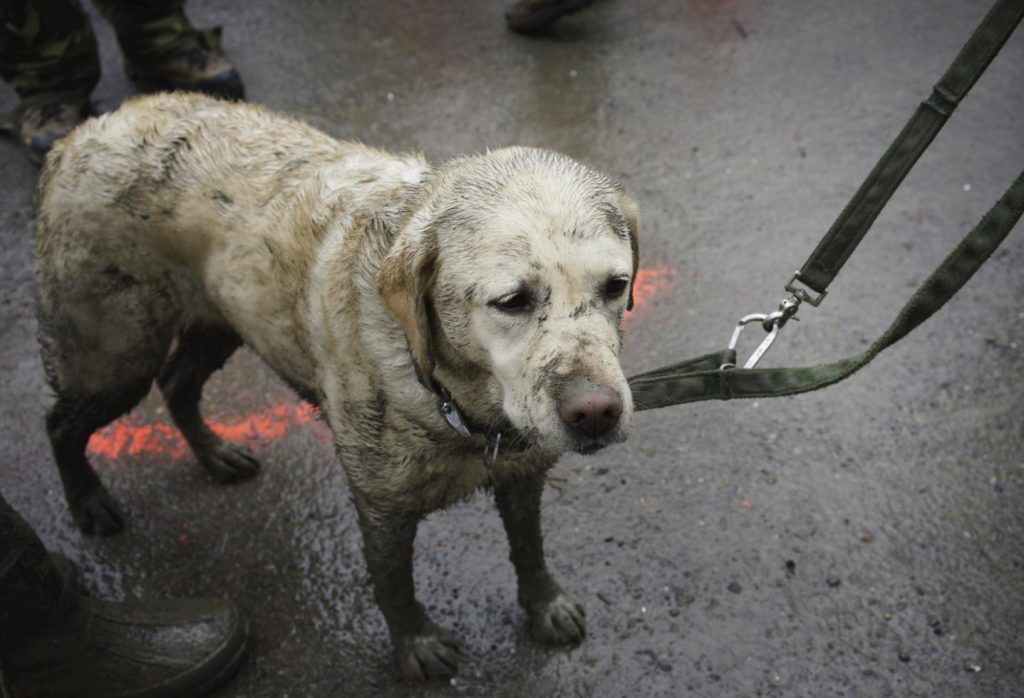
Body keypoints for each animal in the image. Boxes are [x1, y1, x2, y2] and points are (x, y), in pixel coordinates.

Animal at [36, 89, 634, 675]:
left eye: (616, 285)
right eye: (512, 300)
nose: (596, 413)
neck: (460, 409)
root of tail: (81, 134)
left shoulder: (523, 474)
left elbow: (529, 547)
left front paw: (544, 605)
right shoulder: (381, 506)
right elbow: (394, 584)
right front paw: (415, 643)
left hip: (220, 319)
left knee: (178, 383)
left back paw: (213, 454)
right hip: (113, 355)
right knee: (61, 422)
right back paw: (87, 501)